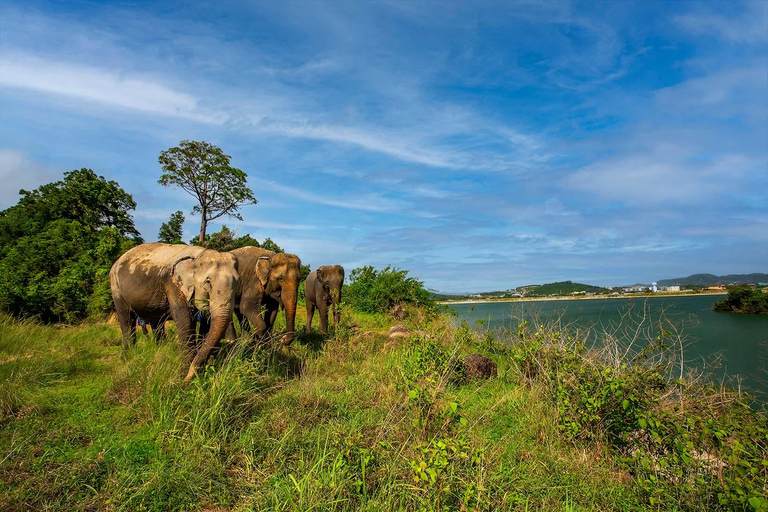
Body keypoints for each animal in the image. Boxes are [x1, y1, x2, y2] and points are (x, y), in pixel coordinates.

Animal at [108, 242, 238, 382]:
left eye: (236, 283)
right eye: (208, 282)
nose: (190, 375)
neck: (197, 256)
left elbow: (206, 324)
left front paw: (198, 374)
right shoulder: (174, 285)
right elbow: (186, 321)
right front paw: (184, 376)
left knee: (156, 323)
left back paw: (159, 353)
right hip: (116, 289)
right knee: (127, 319)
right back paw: (128, 359)